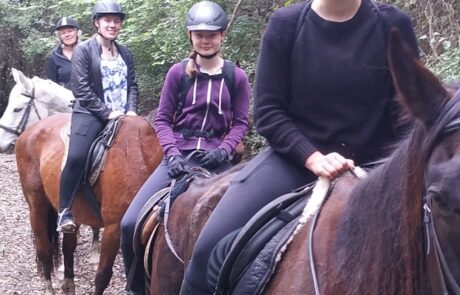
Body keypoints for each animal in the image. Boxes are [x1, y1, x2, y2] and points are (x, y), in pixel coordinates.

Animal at [15, 112, 164, 294]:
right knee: (44, 249)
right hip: (37, 207)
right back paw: (49, 288)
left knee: (68, 247)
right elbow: (103, 275)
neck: (143, 155)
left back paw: (68, 285)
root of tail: (28, 131)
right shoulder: (114, 227)